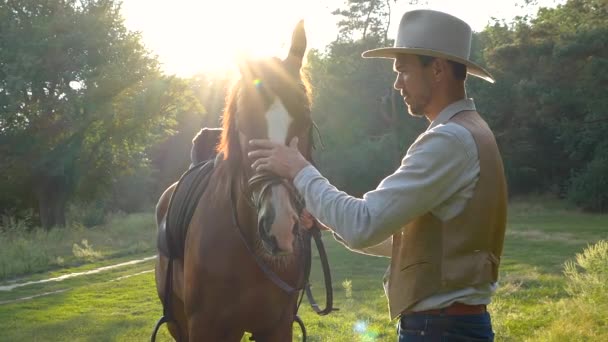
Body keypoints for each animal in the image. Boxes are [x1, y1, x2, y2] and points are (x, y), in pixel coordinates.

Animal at [153, 22, 314, 342]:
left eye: (304, 116)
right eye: (245, 118)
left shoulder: (277, 327)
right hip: (179, 324)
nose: (279, 228)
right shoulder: (204, 327)